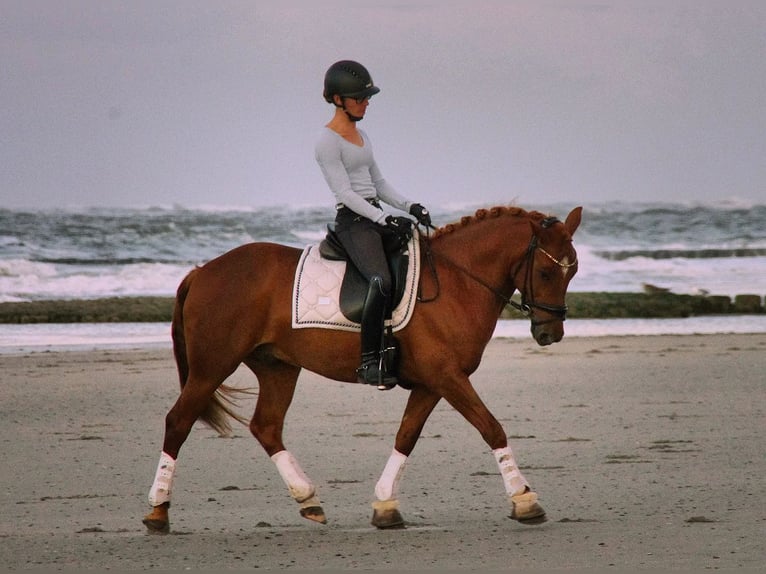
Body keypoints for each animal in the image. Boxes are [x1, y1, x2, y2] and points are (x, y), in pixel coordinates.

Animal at [142, 205, 582, 532]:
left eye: (573, 270)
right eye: (546, 271)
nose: (551, 333)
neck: (457, 282)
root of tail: (202, 271)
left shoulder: (432, 383)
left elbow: (406, 436)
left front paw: (386, 505)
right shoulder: (448, 377)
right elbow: (491, 427)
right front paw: (525, 499)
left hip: (277, 367)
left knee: (266, 426)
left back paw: (309, 499)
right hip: (211, 367)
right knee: (178, 421)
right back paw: (158, 510)